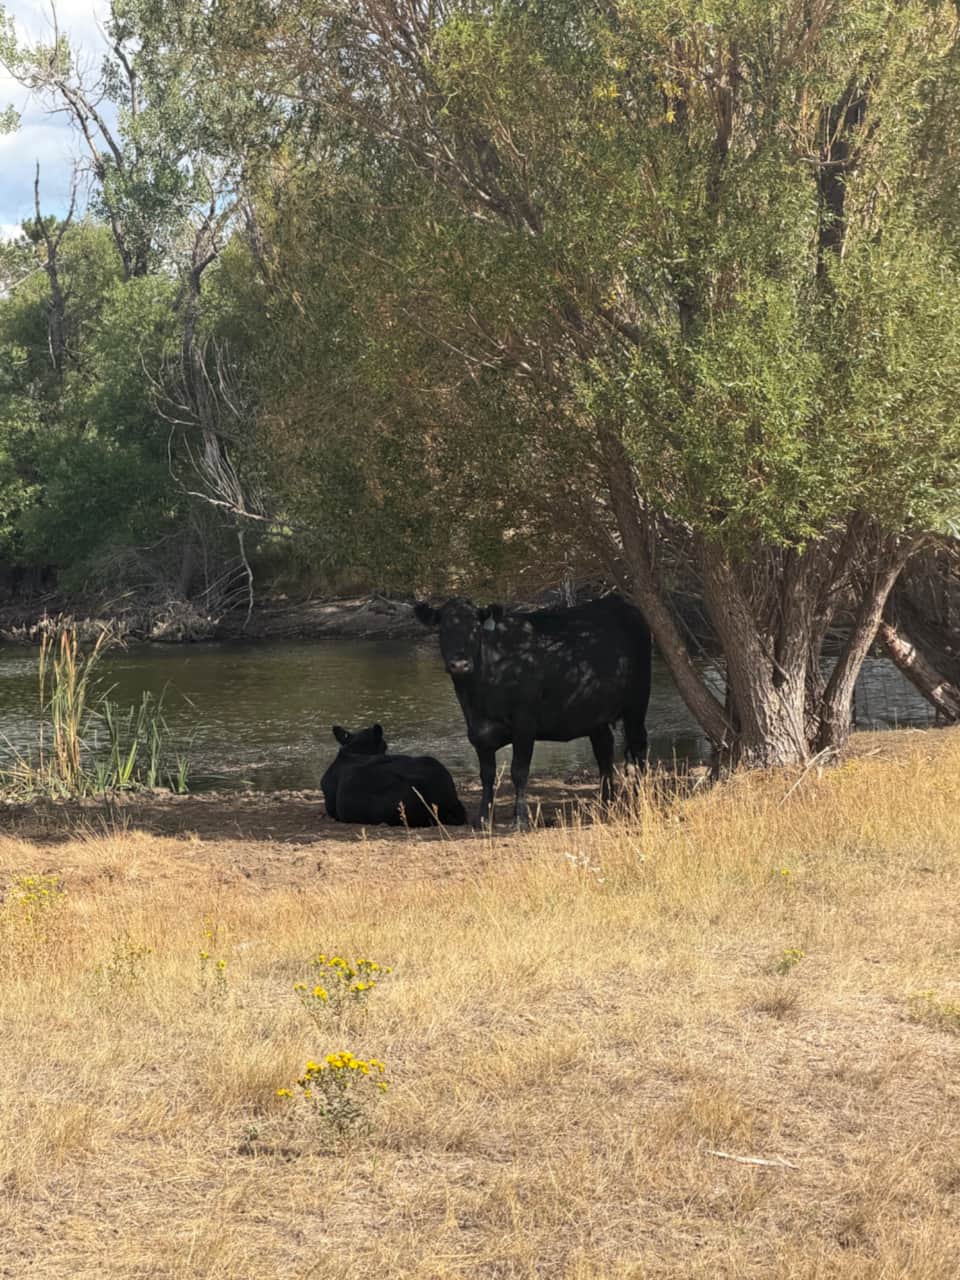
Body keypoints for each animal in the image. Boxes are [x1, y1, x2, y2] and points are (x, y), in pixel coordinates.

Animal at [414, 594, 652, 828]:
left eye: (476, 628)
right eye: (442, 628)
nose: (460, 664)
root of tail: (622, 604)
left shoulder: (524, 724)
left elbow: (519, 771)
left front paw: (520, 819)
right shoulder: (478, 732)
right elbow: (487, 775)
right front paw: (483, 818)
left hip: (636, 704)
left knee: (638, 747)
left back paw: (640, 800)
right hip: (595, 715)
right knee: (604, 752)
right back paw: (605, 804)